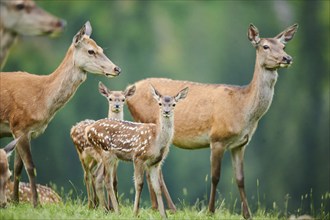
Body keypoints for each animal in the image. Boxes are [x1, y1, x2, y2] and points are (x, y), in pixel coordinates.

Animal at [0, 21, 122, 208]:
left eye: (101, 48)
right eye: (91, 51)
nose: (116, 69)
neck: (41, 99)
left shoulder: (24, 131)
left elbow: (18, 167)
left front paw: (16, 202)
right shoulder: (19, 124)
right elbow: (30, 166)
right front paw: (36, 204)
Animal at [70, 81, 136, 209]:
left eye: (123, 99)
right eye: (110, 98)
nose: (117, 106)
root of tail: (73, 128)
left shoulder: (116, 161)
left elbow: (114, 181)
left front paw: (113, 206)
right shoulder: (105, 158)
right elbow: (104, 178)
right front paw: (110, 207)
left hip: (93, 159)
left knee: (91, 172)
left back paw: (96, 203)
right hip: (81, 154)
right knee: (86, 175)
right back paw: (91, 204)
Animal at [85, 85, 188, 218]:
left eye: (174, 104)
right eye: (160, 103)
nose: (166, 112)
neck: (157, 140)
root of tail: (88, 130)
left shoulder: (155, 163)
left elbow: (157, 187)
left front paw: (163, 215)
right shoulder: (138, 156)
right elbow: (139, 184)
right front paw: (135, 213)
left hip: (106, 155)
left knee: (99, 176)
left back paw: (106, 210)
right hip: (107, 152)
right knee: (107, 180)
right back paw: (117, 211)